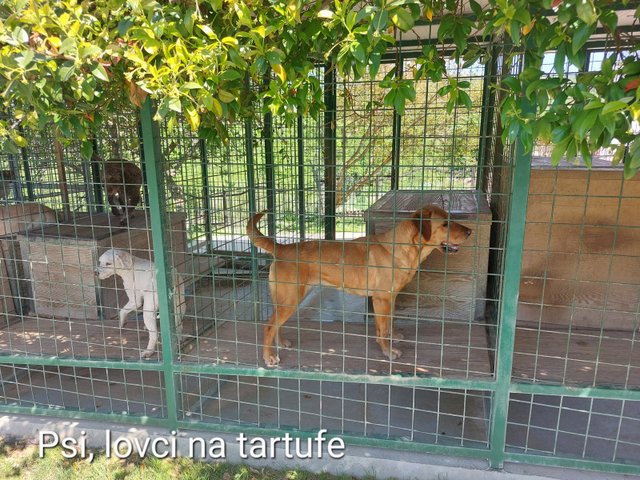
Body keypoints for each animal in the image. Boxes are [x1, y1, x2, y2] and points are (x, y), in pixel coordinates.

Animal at [247, 205, 472, 366]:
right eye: (445, 223)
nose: (470, 231)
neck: (403, 247)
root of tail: (281, 248)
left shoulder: (390, 297)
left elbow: (389, 322)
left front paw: (393, 337)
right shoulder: (381, 299)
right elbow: (382, 329)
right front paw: (387, 351)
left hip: (286, 300)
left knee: (275, 325)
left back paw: (279, 344)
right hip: (290, 299)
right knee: (269, 326)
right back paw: (268, 356)